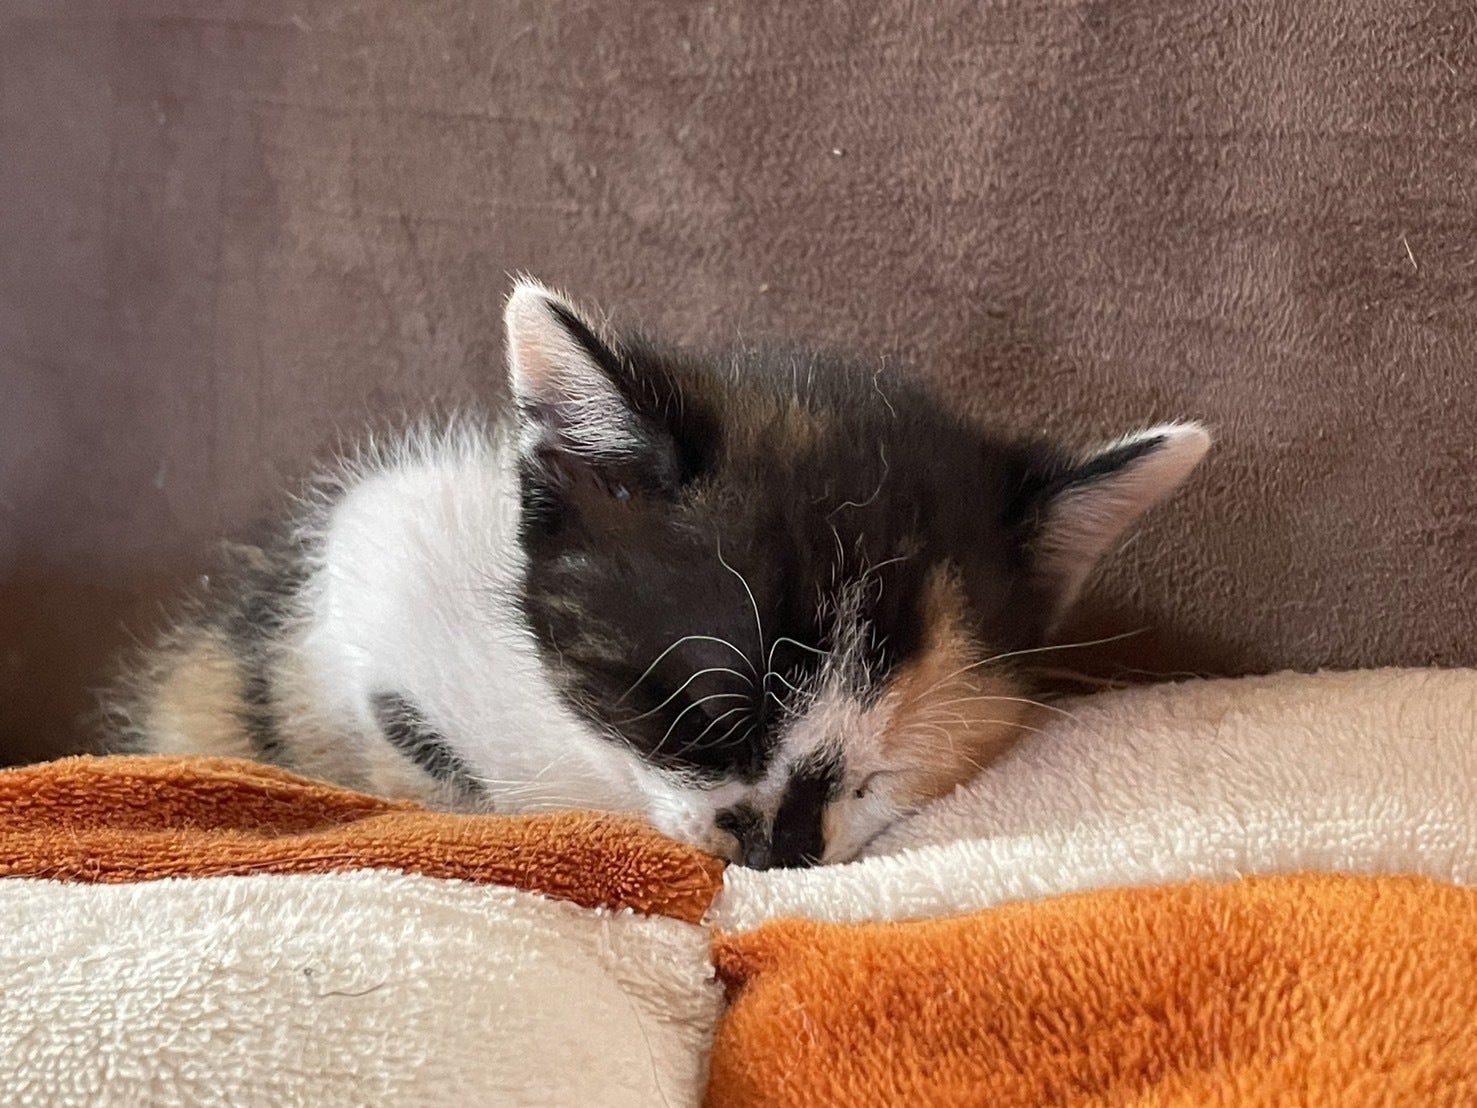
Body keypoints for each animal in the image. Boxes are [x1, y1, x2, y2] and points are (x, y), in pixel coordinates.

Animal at [108, 279, 1210, 868]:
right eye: (703, 709)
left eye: (894, 762)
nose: (775, 846)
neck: (600, 773)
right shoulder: (378, 552)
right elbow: (414, 751)